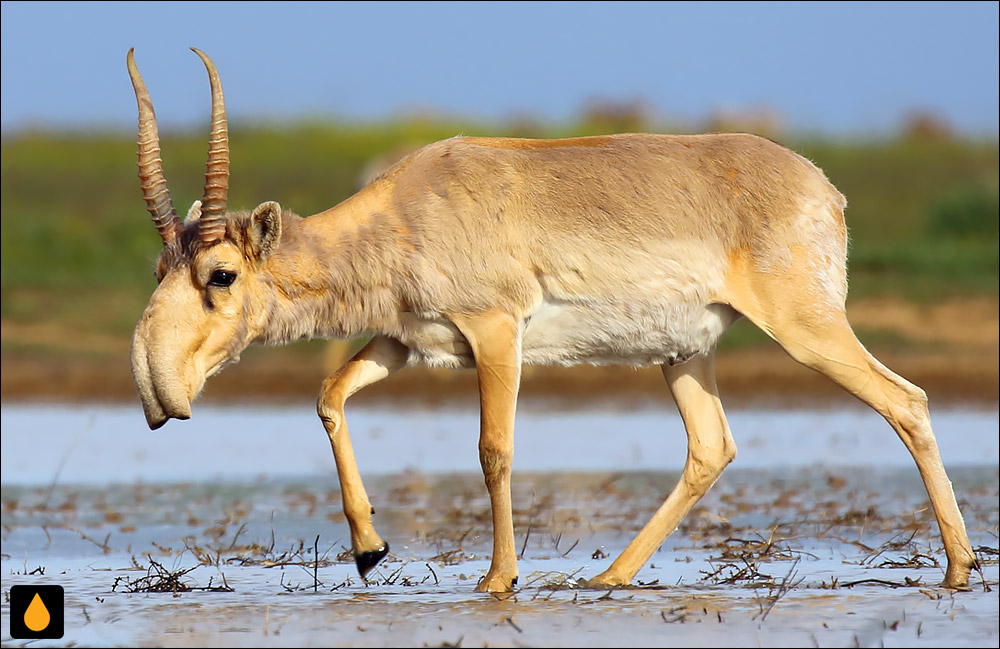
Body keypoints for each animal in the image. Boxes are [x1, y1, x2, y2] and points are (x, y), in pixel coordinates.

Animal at [125, 48, 976, 588]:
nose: (157, 390)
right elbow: (329, 394)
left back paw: (960, 566)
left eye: (221, 274)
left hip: (807, 328)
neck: (407, 208)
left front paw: (498, 579)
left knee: (906, 400)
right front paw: (369, 549)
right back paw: (608, 576)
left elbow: (494, 449)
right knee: (711, 446)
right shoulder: (406, 341)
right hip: (684, 354)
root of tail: (822, 188)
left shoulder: (496, 332)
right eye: (160, 268)